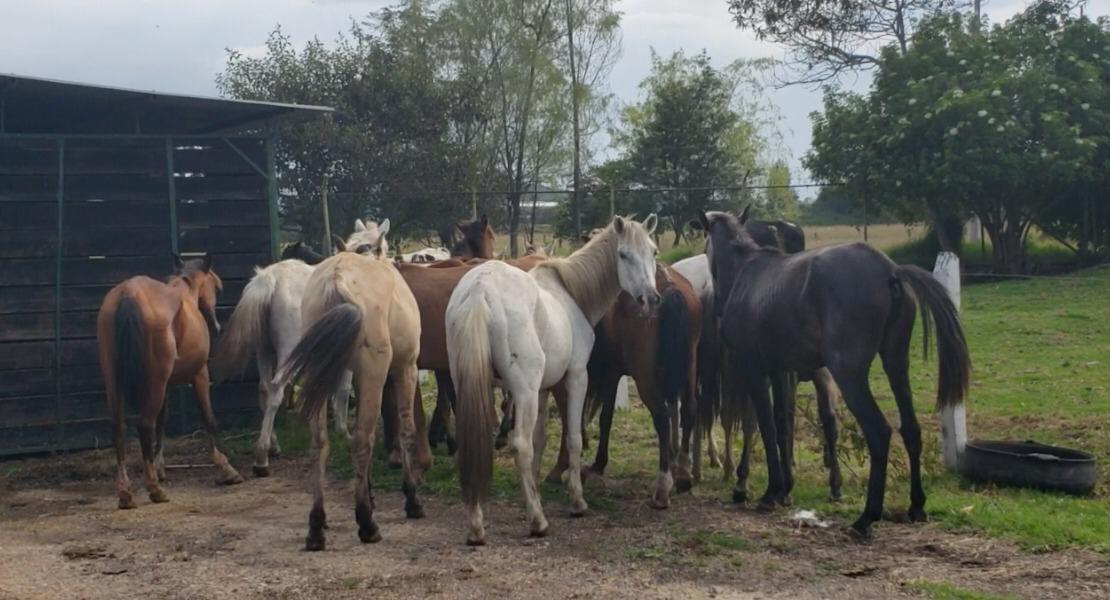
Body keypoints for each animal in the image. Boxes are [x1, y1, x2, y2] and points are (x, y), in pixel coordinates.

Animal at [97, 254, 244, 509]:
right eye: (217, 288)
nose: (216, 326)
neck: (185, 294)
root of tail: (128, 293)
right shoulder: (200, 374)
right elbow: (208, 418)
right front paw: (226, 468)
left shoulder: (166, 385)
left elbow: (162, 422)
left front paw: (159, 466)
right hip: (154, 382)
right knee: (145, 425)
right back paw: (155, 490)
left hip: (116, 383)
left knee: (119, 428)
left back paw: (126, 493)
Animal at [211, 219, 391, 477]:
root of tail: (270, 280)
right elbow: (343, 388)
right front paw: (344, 432)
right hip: (288, 351)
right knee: (277, 388)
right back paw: (261, 457)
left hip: (265, 350)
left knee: (265, 388)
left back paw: (273, 445)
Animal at [275, 223, 423, 551]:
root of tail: (337, 281)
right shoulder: (405, 368)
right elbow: (406, 431)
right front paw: (411, 499)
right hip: (375, 373)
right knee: (362, 441)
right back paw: (367, 524)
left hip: (320, 374)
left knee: (320, 444)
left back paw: (317, 526)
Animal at [446, 215, 660, 545]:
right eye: (623, 255)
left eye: (653, 251)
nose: (650, 299)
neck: (570, 293)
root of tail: (480, 290)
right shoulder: (575, 378)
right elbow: (571, 438)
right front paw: (576, 501)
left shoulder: (542, 390)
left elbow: (540, 440)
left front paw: (532, 495)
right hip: (523, 390)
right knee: (520, 445)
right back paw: (538, 522)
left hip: (475, 386)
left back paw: (477, 526)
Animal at [695, 208, 970, 538]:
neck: (746, 275)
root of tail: (889, 270)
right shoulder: (779, 369)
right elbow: (782, 423)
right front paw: (784, 488)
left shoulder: (754, 368)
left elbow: (765, 426)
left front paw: (770, 492)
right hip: (895, 363)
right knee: (911, 429)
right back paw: (916, 506)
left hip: (848, 373)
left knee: (879, 432)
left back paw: (866, 518)